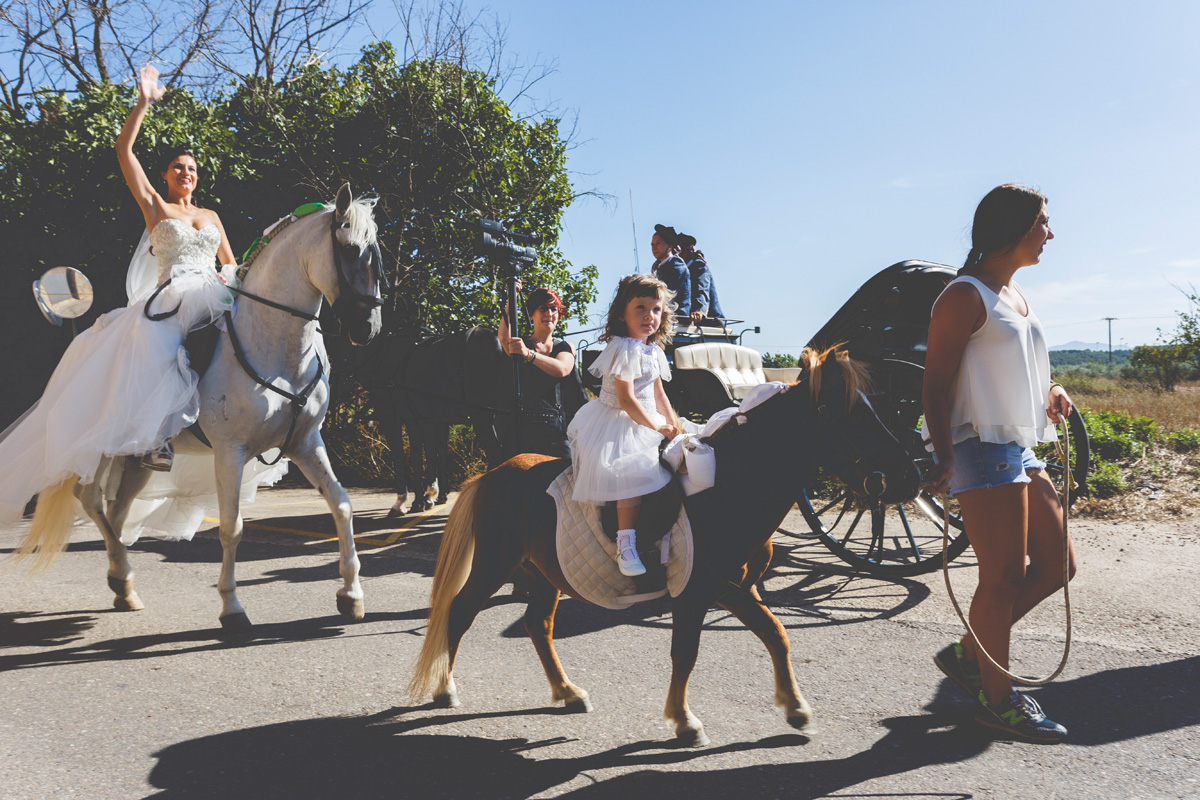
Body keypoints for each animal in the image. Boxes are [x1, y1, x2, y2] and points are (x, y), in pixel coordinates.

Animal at [21, 184, 384, 628]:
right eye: (350, 250)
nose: (369, 328)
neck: (275, 346)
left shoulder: (305, 443)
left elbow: (342, 506)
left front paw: (351, 594)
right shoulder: (230, 451)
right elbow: (232, 526)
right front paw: (232, 607)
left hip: (137, 459)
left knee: (117, 509)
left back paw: (123, 584)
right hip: (100, 449)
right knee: (90, 500)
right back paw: (122, 577)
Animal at [408, 347, 912, 748]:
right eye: (839, 410)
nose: (907, 471)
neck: (729, 487)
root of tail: (493, 474)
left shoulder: (735, 588)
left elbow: (775, 634)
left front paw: (796, 709)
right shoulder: (700, 589)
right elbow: (686, 651)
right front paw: (685, 722)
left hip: (545, 572)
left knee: (537, 624)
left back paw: (568, 693)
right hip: (496, 562)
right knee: (461, 611)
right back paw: (445, 689)